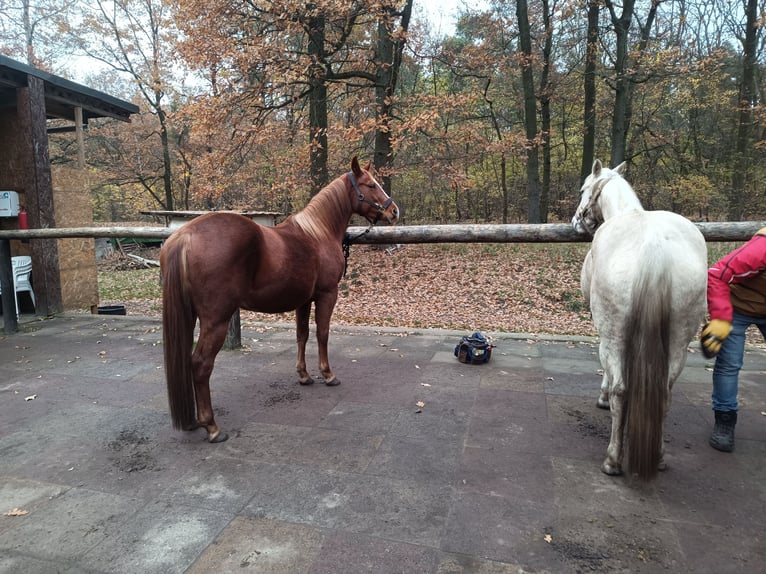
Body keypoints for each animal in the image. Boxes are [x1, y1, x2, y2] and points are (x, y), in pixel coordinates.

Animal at [160, 157, 399, 443]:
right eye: (371, 185)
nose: (394, 211)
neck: (318, 234)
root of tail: (184, 236)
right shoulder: (327, 294)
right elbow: (323, 334)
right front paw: (328, 374)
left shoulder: (304, 300)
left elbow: (302, 335)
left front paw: (304, 376)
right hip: (216, 319)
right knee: (200, 364)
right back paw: (212, 427)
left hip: (189, 315)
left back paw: (195, 421)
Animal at [571, 160, 707, 480]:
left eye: (583, 189)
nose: (575, 222)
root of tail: (653, 248)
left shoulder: (606, 331)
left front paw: (602, 396)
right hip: (679, 340)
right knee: (664, 393)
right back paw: (658, 457)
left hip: (614, 332)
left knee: (621, 388)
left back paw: (613, 460)